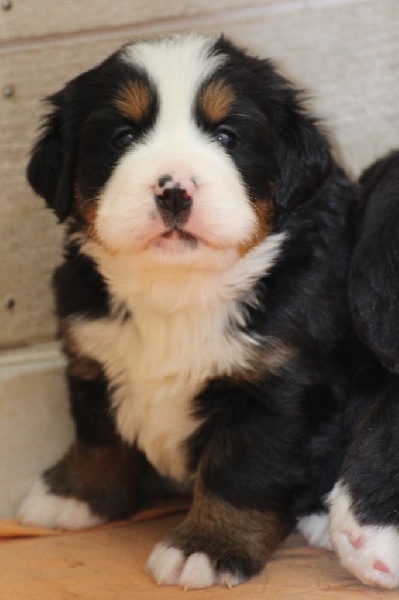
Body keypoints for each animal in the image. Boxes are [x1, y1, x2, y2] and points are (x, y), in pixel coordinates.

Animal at [18, 35, 358, 588]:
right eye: (122, 136)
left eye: (226, 135)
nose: (174, 189)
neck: (175, 291)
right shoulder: (90, 351)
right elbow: (97, 435)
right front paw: (75, 495)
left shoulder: (275, 385)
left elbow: (239, 474)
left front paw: (207, 547)